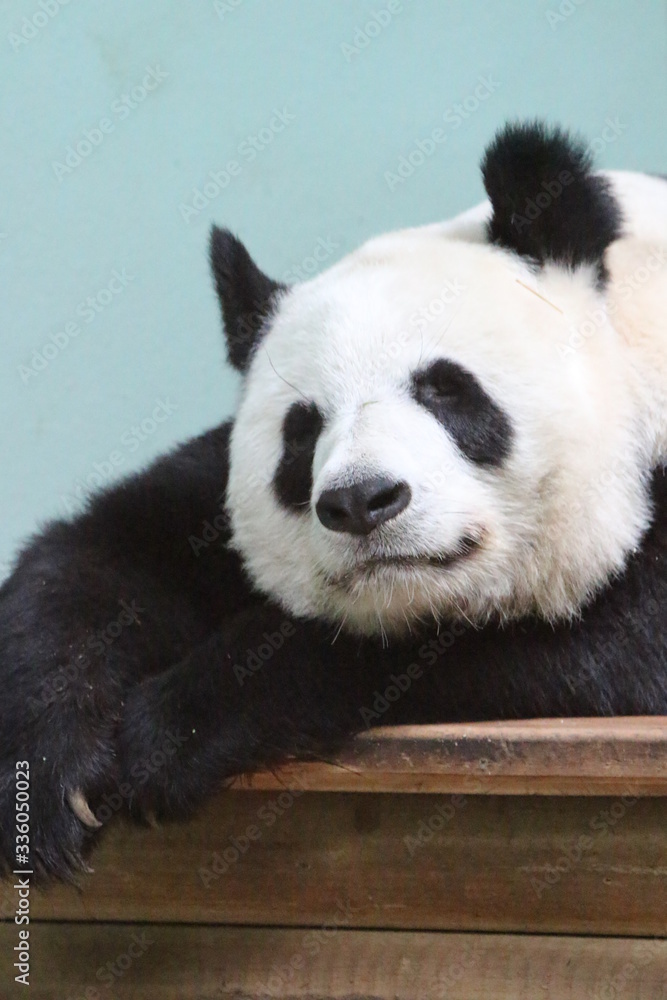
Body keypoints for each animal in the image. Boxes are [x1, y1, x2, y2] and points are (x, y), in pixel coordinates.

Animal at [0, 121, 665, 880]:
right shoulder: (204, 503)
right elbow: (105, 552)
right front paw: (51, 768)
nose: (359, 501)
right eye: (303, 430)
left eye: (444, 388)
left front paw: (172, 729)